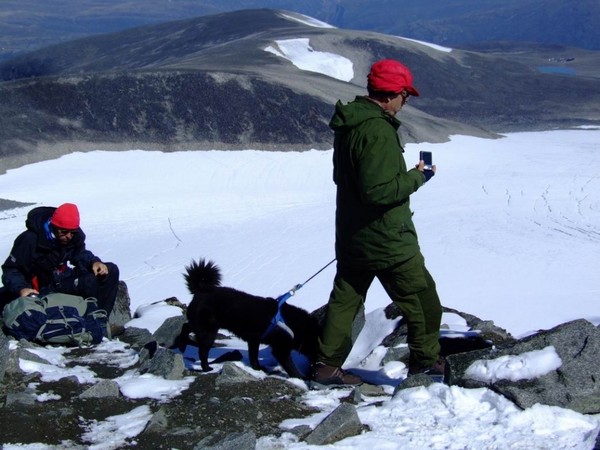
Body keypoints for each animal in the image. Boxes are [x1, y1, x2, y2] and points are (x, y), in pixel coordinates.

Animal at [177, 258, 322, 378]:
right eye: (316, 348)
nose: (315, 366)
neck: (296, 324)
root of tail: (200, 290)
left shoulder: (254, 340)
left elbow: (254, 357)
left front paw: (258, 368)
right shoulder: (280, 349)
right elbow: (290, 366)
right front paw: (300, 377)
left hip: (203, 325)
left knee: (186, 326)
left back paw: (182, 343)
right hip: (209, 331)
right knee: (202, 351)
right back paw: (206, 367)